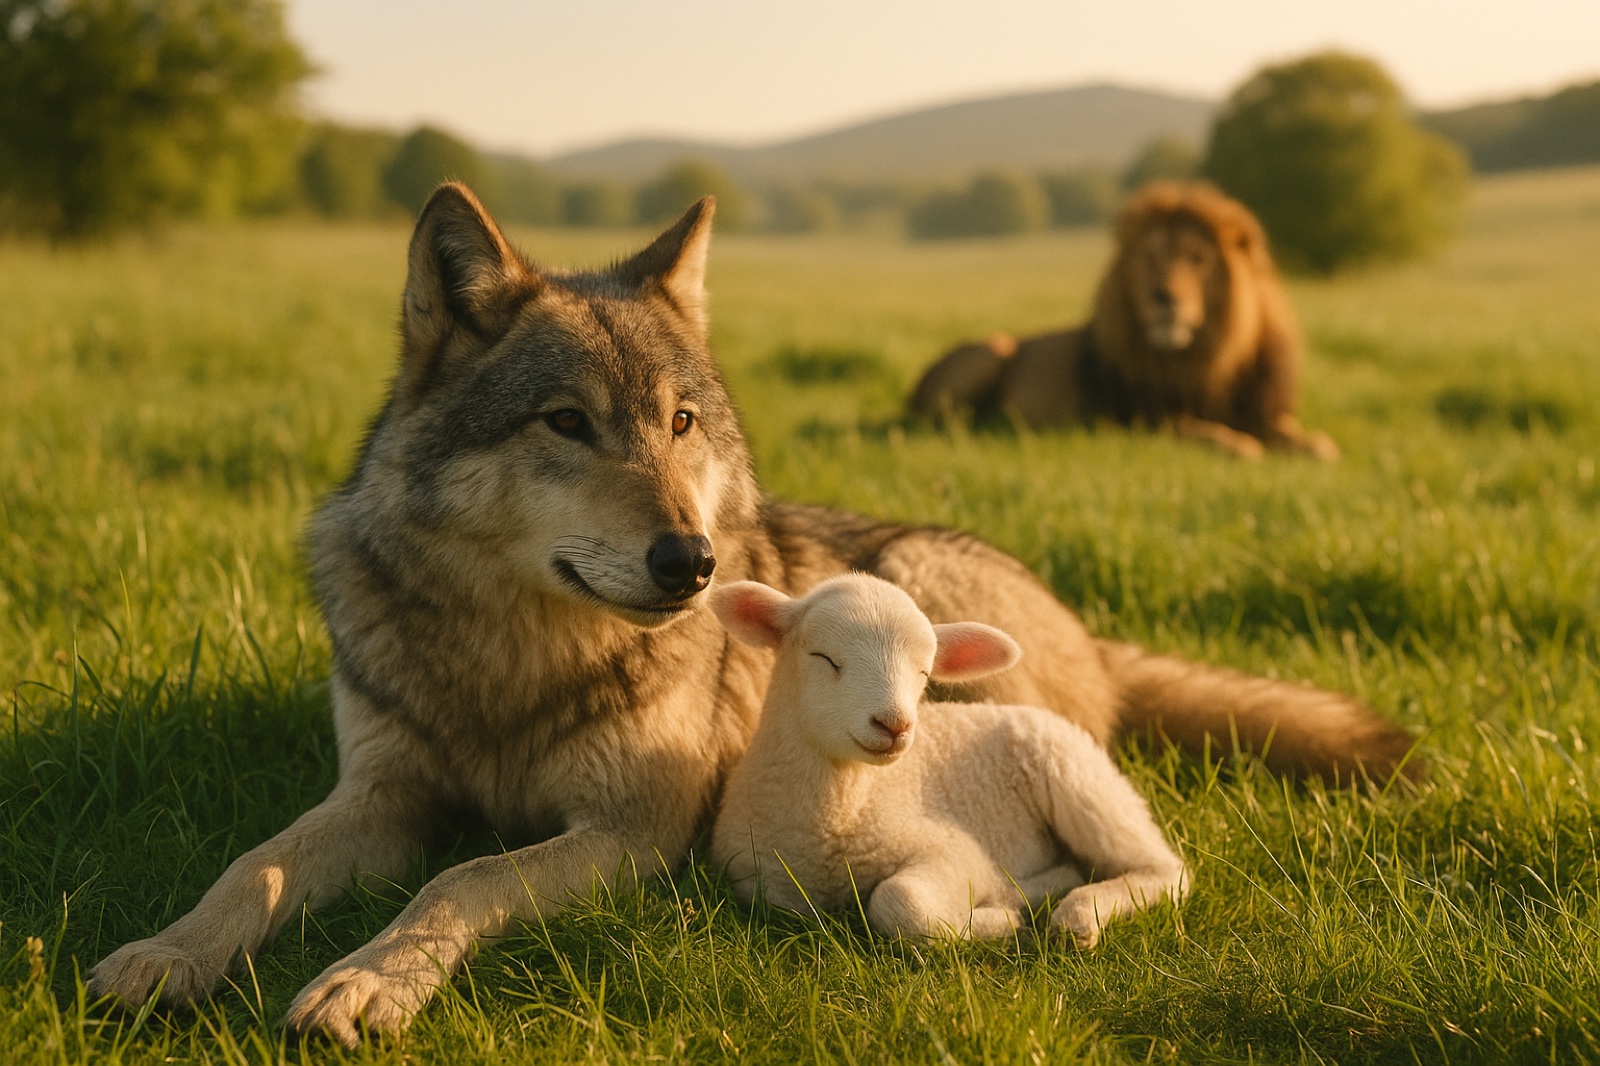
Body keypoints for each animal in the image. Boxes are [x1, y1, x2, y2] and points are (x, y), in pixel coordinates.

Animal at [909, 182, 1338, 460]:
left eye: (1198, 258)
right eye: (1149, 256)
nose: (1163, 297)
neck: (1203, 357)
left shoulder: (1261, 410)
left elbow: (1295, 435)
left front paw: (1315, 445)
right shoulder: (1142, 418)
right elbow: (1197, 429)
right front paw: (1238, 444)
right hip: (994, 348)